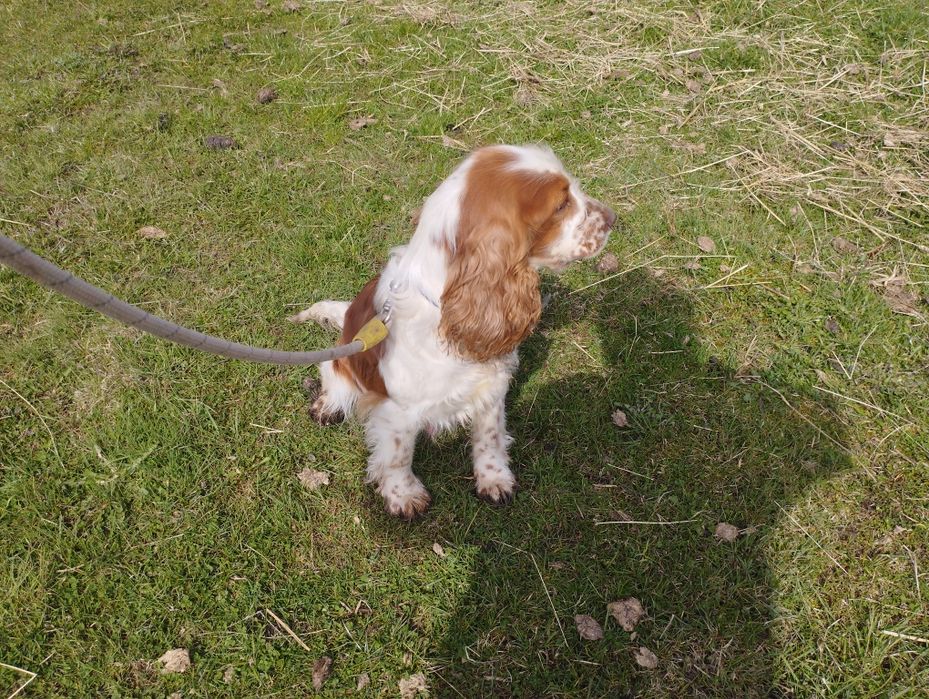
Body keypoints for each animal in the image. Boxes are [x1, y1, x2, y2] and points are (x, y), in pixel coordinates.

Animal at [294, 145, 616, 520]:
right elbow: (398, 456)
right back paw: (327, 406)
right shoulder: (399, 411)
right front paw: (404, 496)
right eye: (562, 204)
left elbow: (489, 436)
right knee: (332, 375)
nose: (612, 218)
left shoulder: (491, 386)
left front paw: (494, 479)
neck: (449, 305)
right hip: (343, 362)